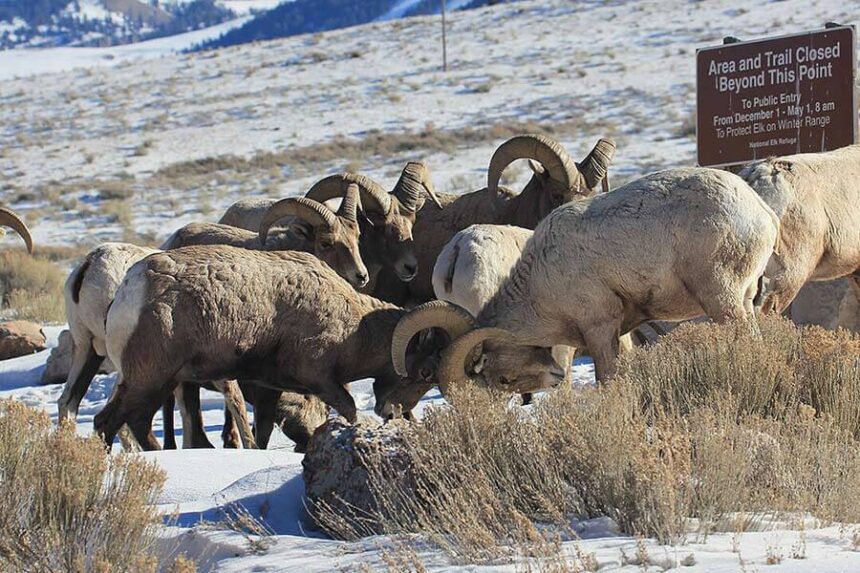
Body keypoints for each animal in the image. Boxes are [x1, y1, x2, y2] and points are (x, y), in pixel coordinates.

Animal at [93, 246, 439, 450]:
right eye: (425, 371)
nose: (391, 412)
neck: (355, 325)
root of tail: (128, 291)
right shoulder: (322, 379)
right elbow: (350, 410)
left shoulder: (269, 390)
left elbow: (262, 434)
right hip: (149, 380)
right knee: (113, 422)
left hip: (157, 382)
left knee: (129, 423)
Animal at [387, 167, 780, 411]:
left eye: (502, 379)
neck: (542, 281)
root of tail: (760, 210)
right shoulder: (621, 333)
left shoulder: (599, 329)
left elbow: (608, 380)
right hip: (744, 298)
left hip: (722, 299)